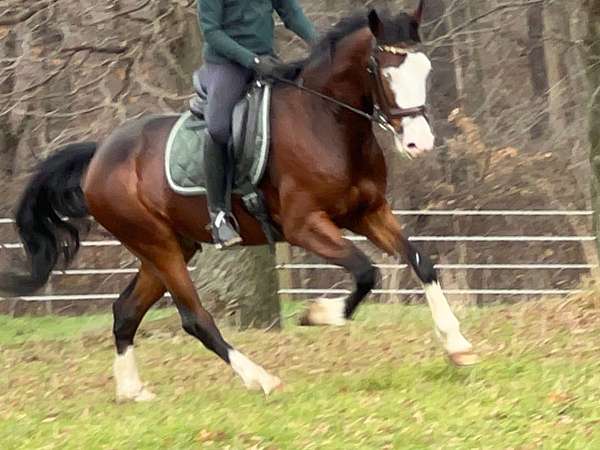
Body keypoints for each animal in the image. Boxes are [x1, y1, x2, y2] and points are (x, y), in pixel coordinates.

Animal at [0, 4, 478, 400]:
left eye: (425, 68)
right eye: (382, 70)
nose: (419, 144)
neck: (327, 121)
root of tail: (99, 154)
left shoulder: (368, 212)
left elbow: (421, 262)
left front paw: (457, 345)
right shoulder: (305, 226)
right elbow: (365, 271)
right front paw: (319, 314)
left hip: (169, 248)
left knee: (125, 312)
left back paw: (132, 391)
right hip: (158, 245)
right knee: (195, 319)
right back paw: (261, 379)